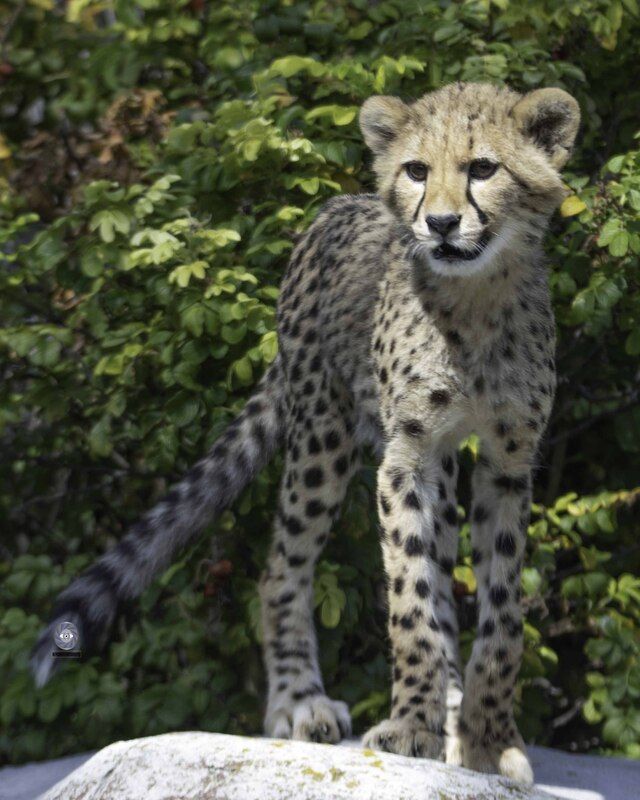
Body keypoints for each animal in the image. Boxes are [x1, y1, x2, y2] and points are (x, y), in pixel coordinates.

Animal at [31, 81, 580, 784]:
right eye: (417, 170)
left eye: (483, 168)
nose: (440, 223)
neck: (477, 300)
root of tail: (331, 211)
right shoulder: (406, 456)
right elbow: (409, 601)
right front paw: (411, 726)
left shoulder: (508, 460)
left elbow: (501, 611)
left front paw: (486, 737)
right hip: (322, 434)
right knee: (281, 567)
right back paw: (300, 702)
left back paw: (451, 710)